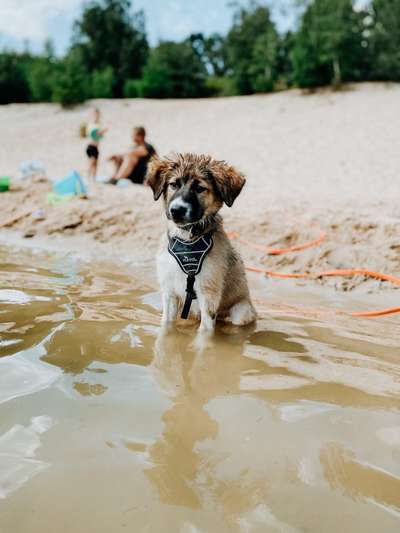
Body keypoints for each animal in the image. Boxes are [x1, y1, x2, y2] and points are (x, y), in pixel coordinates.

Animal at [146, 152, 256, 330]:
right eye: (173, 185)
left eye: (199, 188)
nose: (176, 210)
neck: (187, 238)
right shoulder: (169, 292)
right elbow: (166, 326)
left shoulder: (208, 294)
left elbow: (205, 332)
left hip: (241, 311)